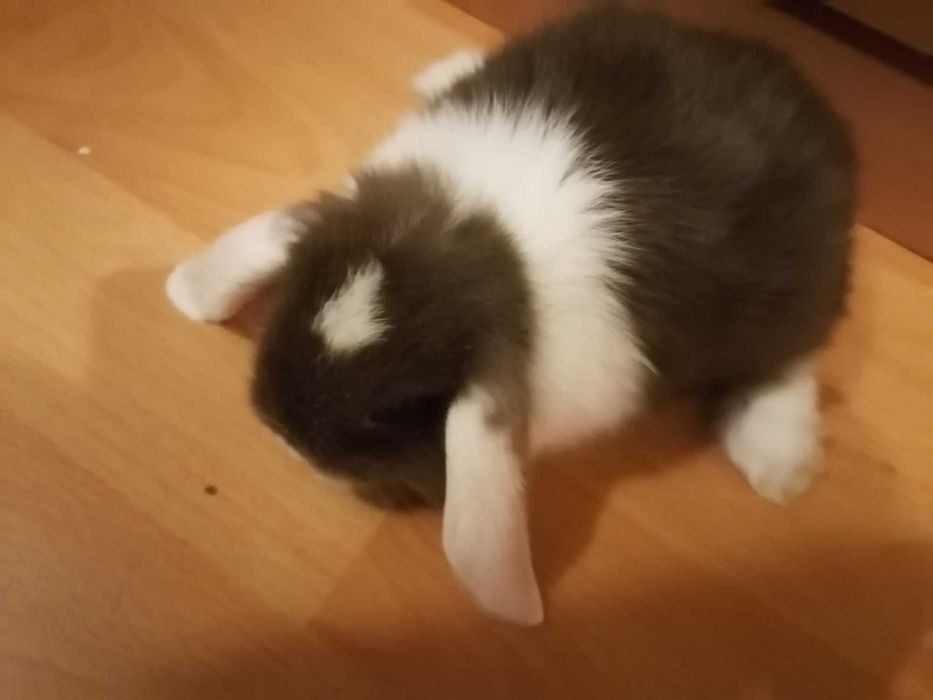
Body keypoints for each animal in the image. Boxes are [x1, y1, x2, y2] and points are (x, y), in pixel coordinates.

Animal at [166, 6, 856, 626]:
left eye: (398, 407)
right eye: (293, 299)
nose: (284, 430)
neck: (489, 234)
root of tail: (820, 109)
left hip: (787, 298)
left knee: (790, 361)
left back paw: (781, 466)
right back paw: (443, 70)